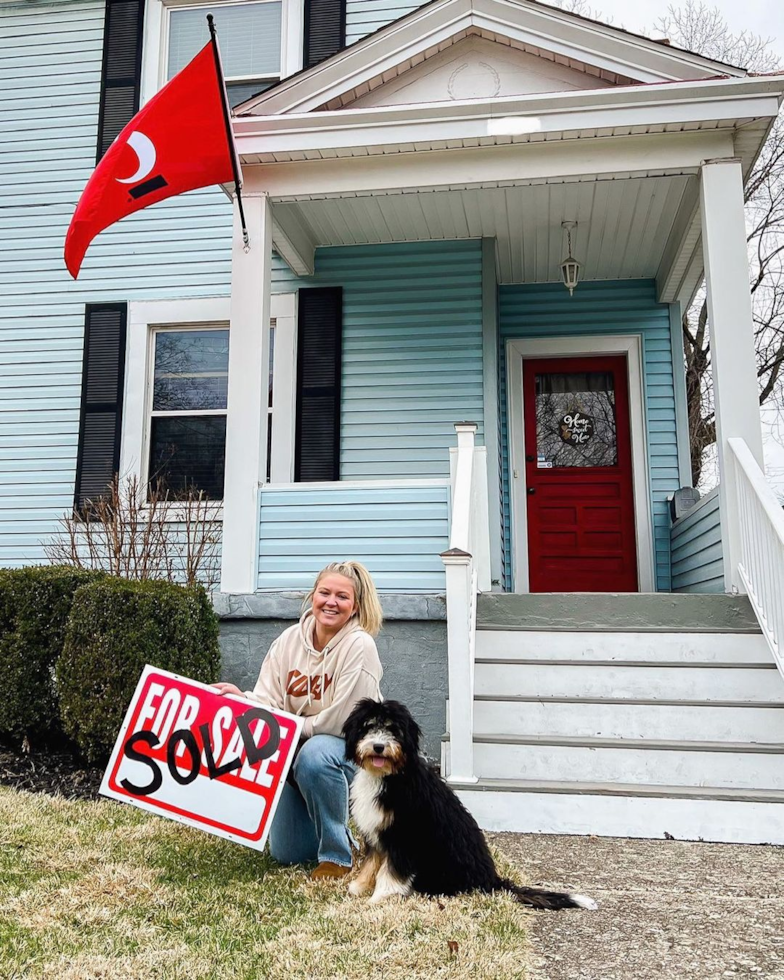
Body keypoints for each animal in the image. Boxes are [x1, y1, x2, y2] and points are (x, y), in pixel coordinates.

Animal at [344, 696, 600, 912]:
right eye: (368, 726)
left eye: (392, 729)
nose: (379, 746)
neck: (389, 776)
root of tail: (493, 881)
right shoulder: (376, 832)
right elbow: (371, 863)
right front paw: (358, 887)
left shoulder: (403, 836)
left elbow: (391, 872)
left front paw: (379, 897)